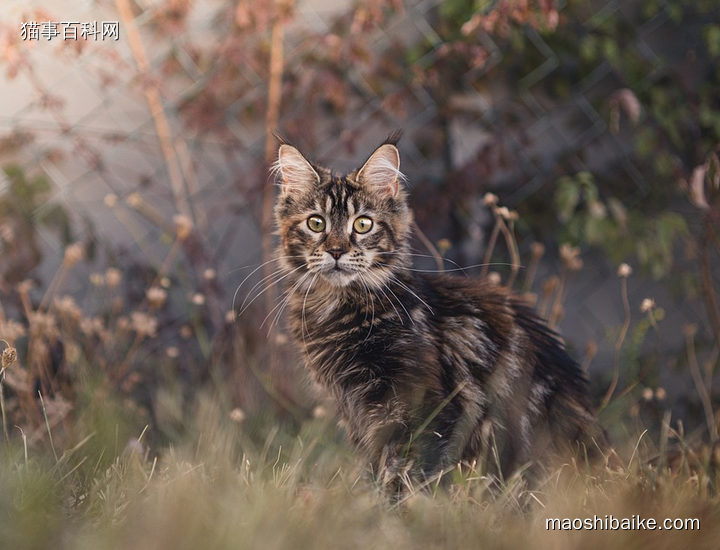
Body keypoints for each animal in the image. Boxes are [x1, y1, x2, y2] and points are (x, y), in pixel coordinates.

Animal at [272, 136, 612, 490]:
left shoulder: (423, 406)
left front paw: (398, 502)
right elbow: (377, 466)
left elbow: (408, 470)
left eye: (363, 224)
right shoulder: (356, 412)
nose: (336, 251)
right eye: (316, 223)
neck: (339, 309)